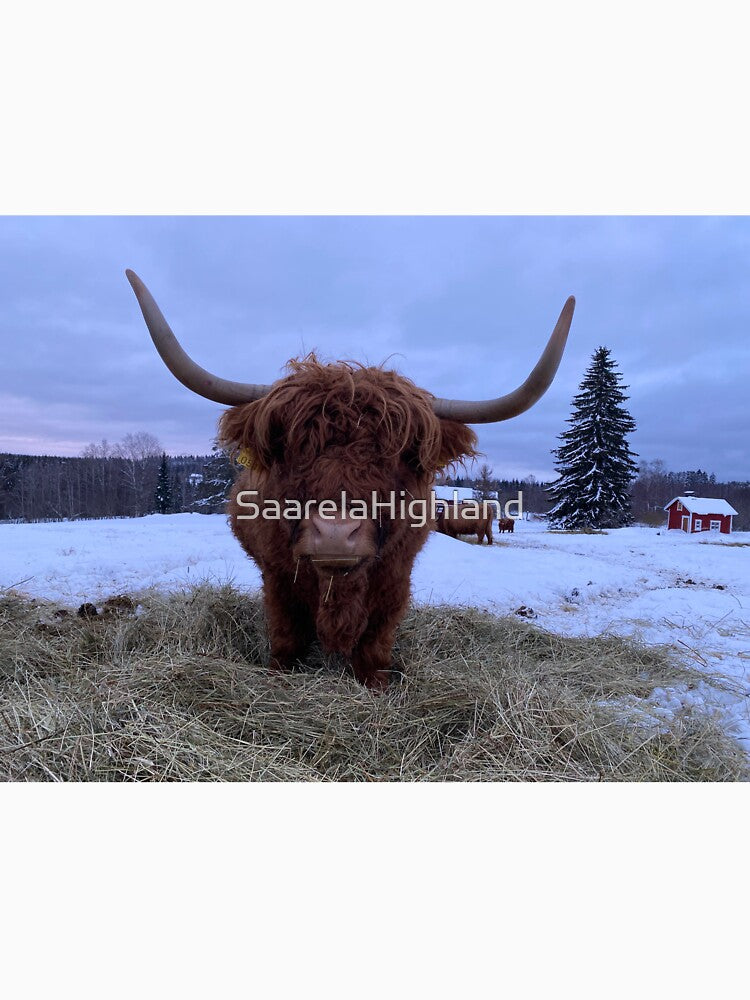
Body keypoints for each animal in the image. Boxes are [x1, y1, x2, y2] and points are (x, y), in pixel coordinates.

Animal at [126, 270, 574, 689]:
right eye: (291, 447)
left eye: (404, 454)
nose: (336, 535)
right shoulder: (277, 578)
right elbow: (286, 638)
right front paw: (278, 675)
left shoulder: (395, 580)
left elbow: (375, 648)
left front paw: (377, 686)